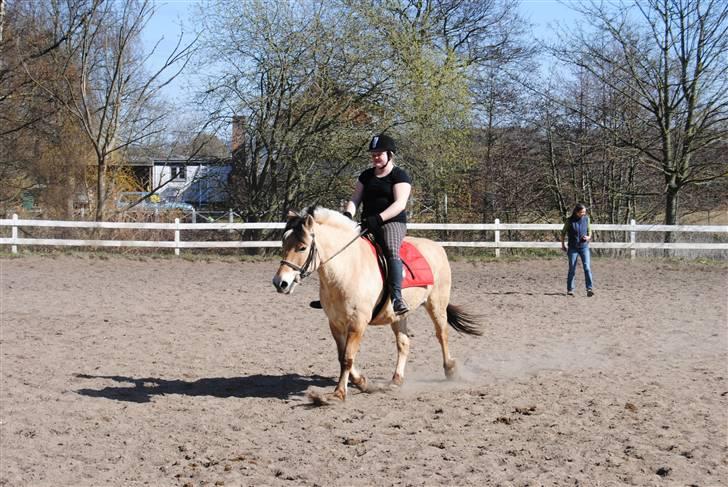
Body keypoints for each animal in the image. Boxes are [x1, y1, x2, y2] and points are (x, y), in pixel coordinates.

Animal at [270, 206, 480, 400]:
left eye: (302, 247)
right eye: (284, 243)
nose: (280, 283)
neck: (348, 269)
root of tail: (437, 247)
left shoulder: (358, 323)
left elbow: (347, 358)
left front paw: (339, 393)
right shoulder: (336, 323)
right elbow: (342, 356)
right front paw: (362, 382)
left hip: (436, 305)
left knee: (441, 334)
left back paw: (450, 369)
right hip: (398, 315)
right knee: (404, 343)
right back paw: (396, 380)